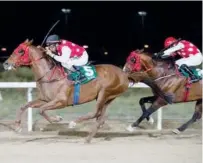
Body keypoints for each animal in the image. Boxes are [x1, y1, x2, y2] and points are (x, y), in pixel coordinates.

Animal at [2, 39, 132, 143]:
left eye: (20, 51)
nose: (6, 64)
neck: (50, 75)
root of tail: (124, 74)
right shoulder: (45, 99)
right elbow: (24, 106)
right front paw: (17, 126)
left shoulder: (61, 101)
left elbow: (41, 110)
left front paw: (57, 119)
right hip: (108, 98)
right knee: (100, 118)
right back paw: (88, 138)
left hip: (104, 93)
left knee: (96, 113)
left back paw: (73, 123)